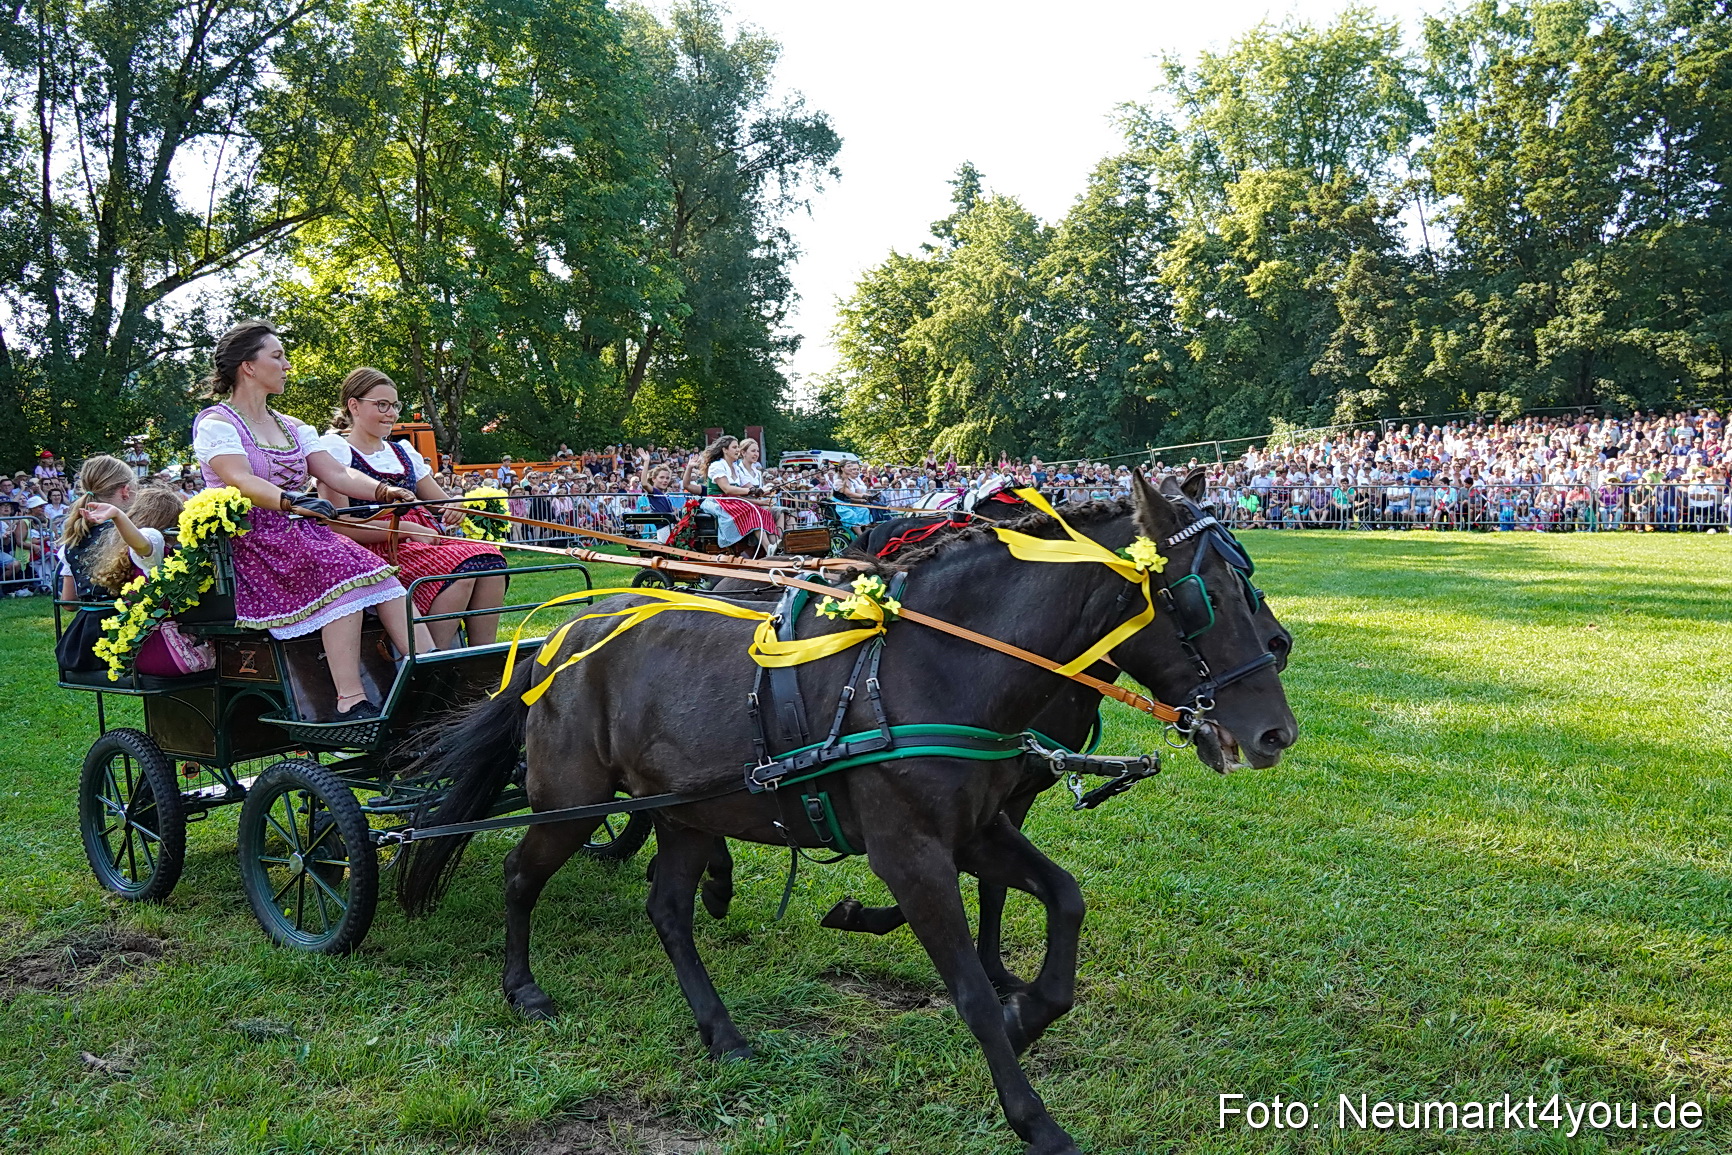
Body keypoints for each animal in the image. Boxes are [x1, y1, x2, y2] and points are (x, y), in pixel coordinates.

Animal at [395, 470, 1295, 1155]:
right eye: (1203, 595)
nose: (1275, 729)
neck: (936, 666)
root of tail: (562, 638)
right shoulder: (911, 852)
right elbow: (967, 987)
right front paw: (1033, 1114)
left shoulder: (979, 828)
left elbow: (1063, 900)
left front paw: (1029, 1012)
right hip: (572, 801)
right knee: (521, 874)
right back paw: (523, 987)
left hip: (689, 812)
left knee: (668, 908)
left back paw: (721, 1028)